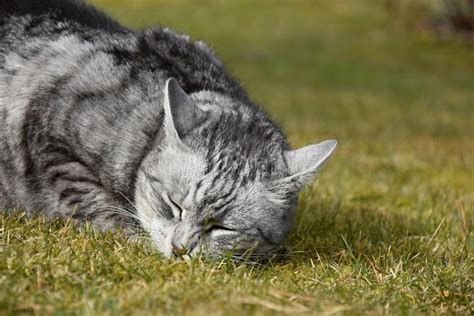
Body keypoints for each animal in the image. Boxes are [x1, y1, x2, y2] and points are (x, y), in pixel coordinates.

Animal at [0, 0, 336, 260]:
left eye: (222, 228)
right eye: (173, 205)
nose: (180, 249)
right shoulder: (50, 135)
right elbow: (95, 201)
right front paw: (134, 237)